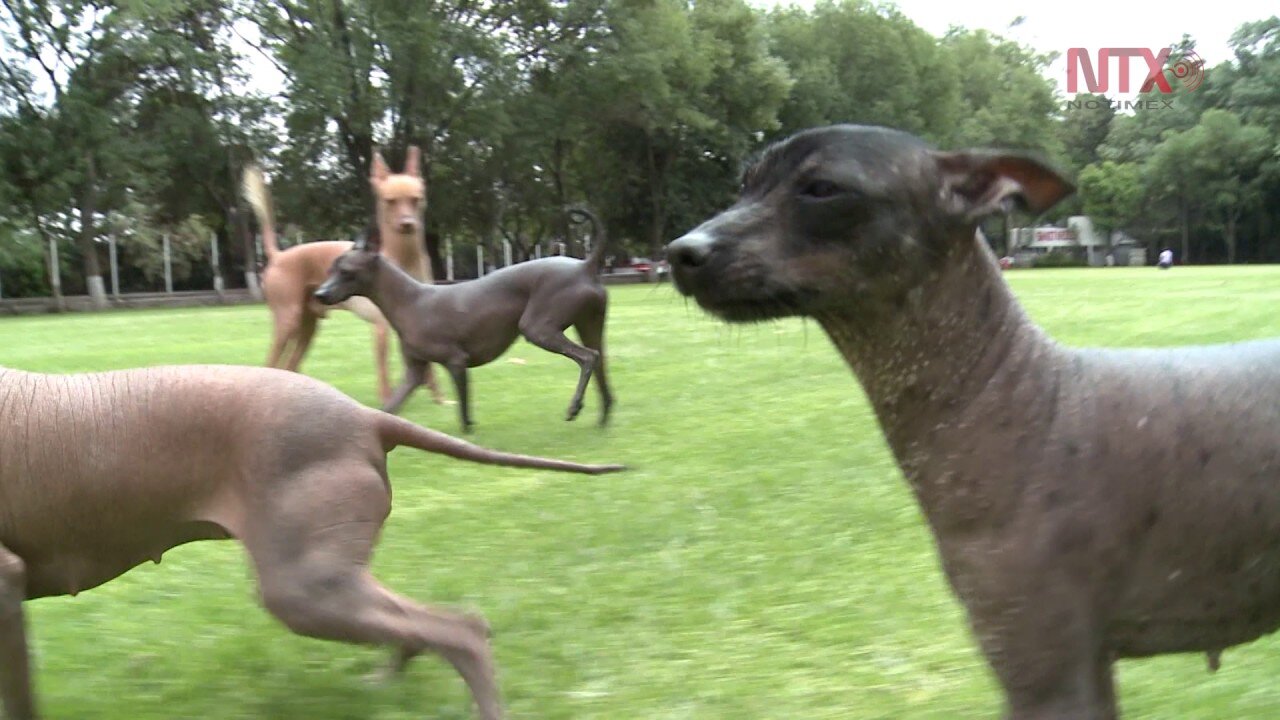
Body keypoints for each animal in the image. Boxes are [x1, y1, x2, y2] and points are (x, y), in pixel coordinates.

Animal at [0, 363, 622, 717]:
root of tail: (367, 417)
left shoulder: (6, 578)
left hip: (300, 584)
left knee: (461, 631)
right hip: (323, 573)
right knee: (419, 627)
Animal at [247, 147, 448, 399]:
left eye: (416, 199)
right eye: (390, 201)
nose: (407, 224)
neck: (403, 256)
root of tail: (278, 255)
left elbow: (429, 369)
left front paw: (439, 399)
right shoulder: (380, 328)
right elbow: (384, 371)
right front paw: (386, 400)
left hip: (308, 327)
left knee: (290, 366)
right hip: (288, 322)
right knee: (271, 362)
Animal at [309, 208, 609, 430]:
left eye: (346, 272)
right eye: (330, 269)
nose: (319, 294)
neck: (409, 301)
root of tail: (585, 266)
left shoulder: (456, 362)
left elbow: (464, 417)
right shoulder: (414, 374)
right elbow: (390, 408)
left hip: (537, 328)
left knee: (588, 358)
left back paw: (575, 407)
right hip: (590, 325)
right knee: (600, 366)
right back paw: (604, 417)